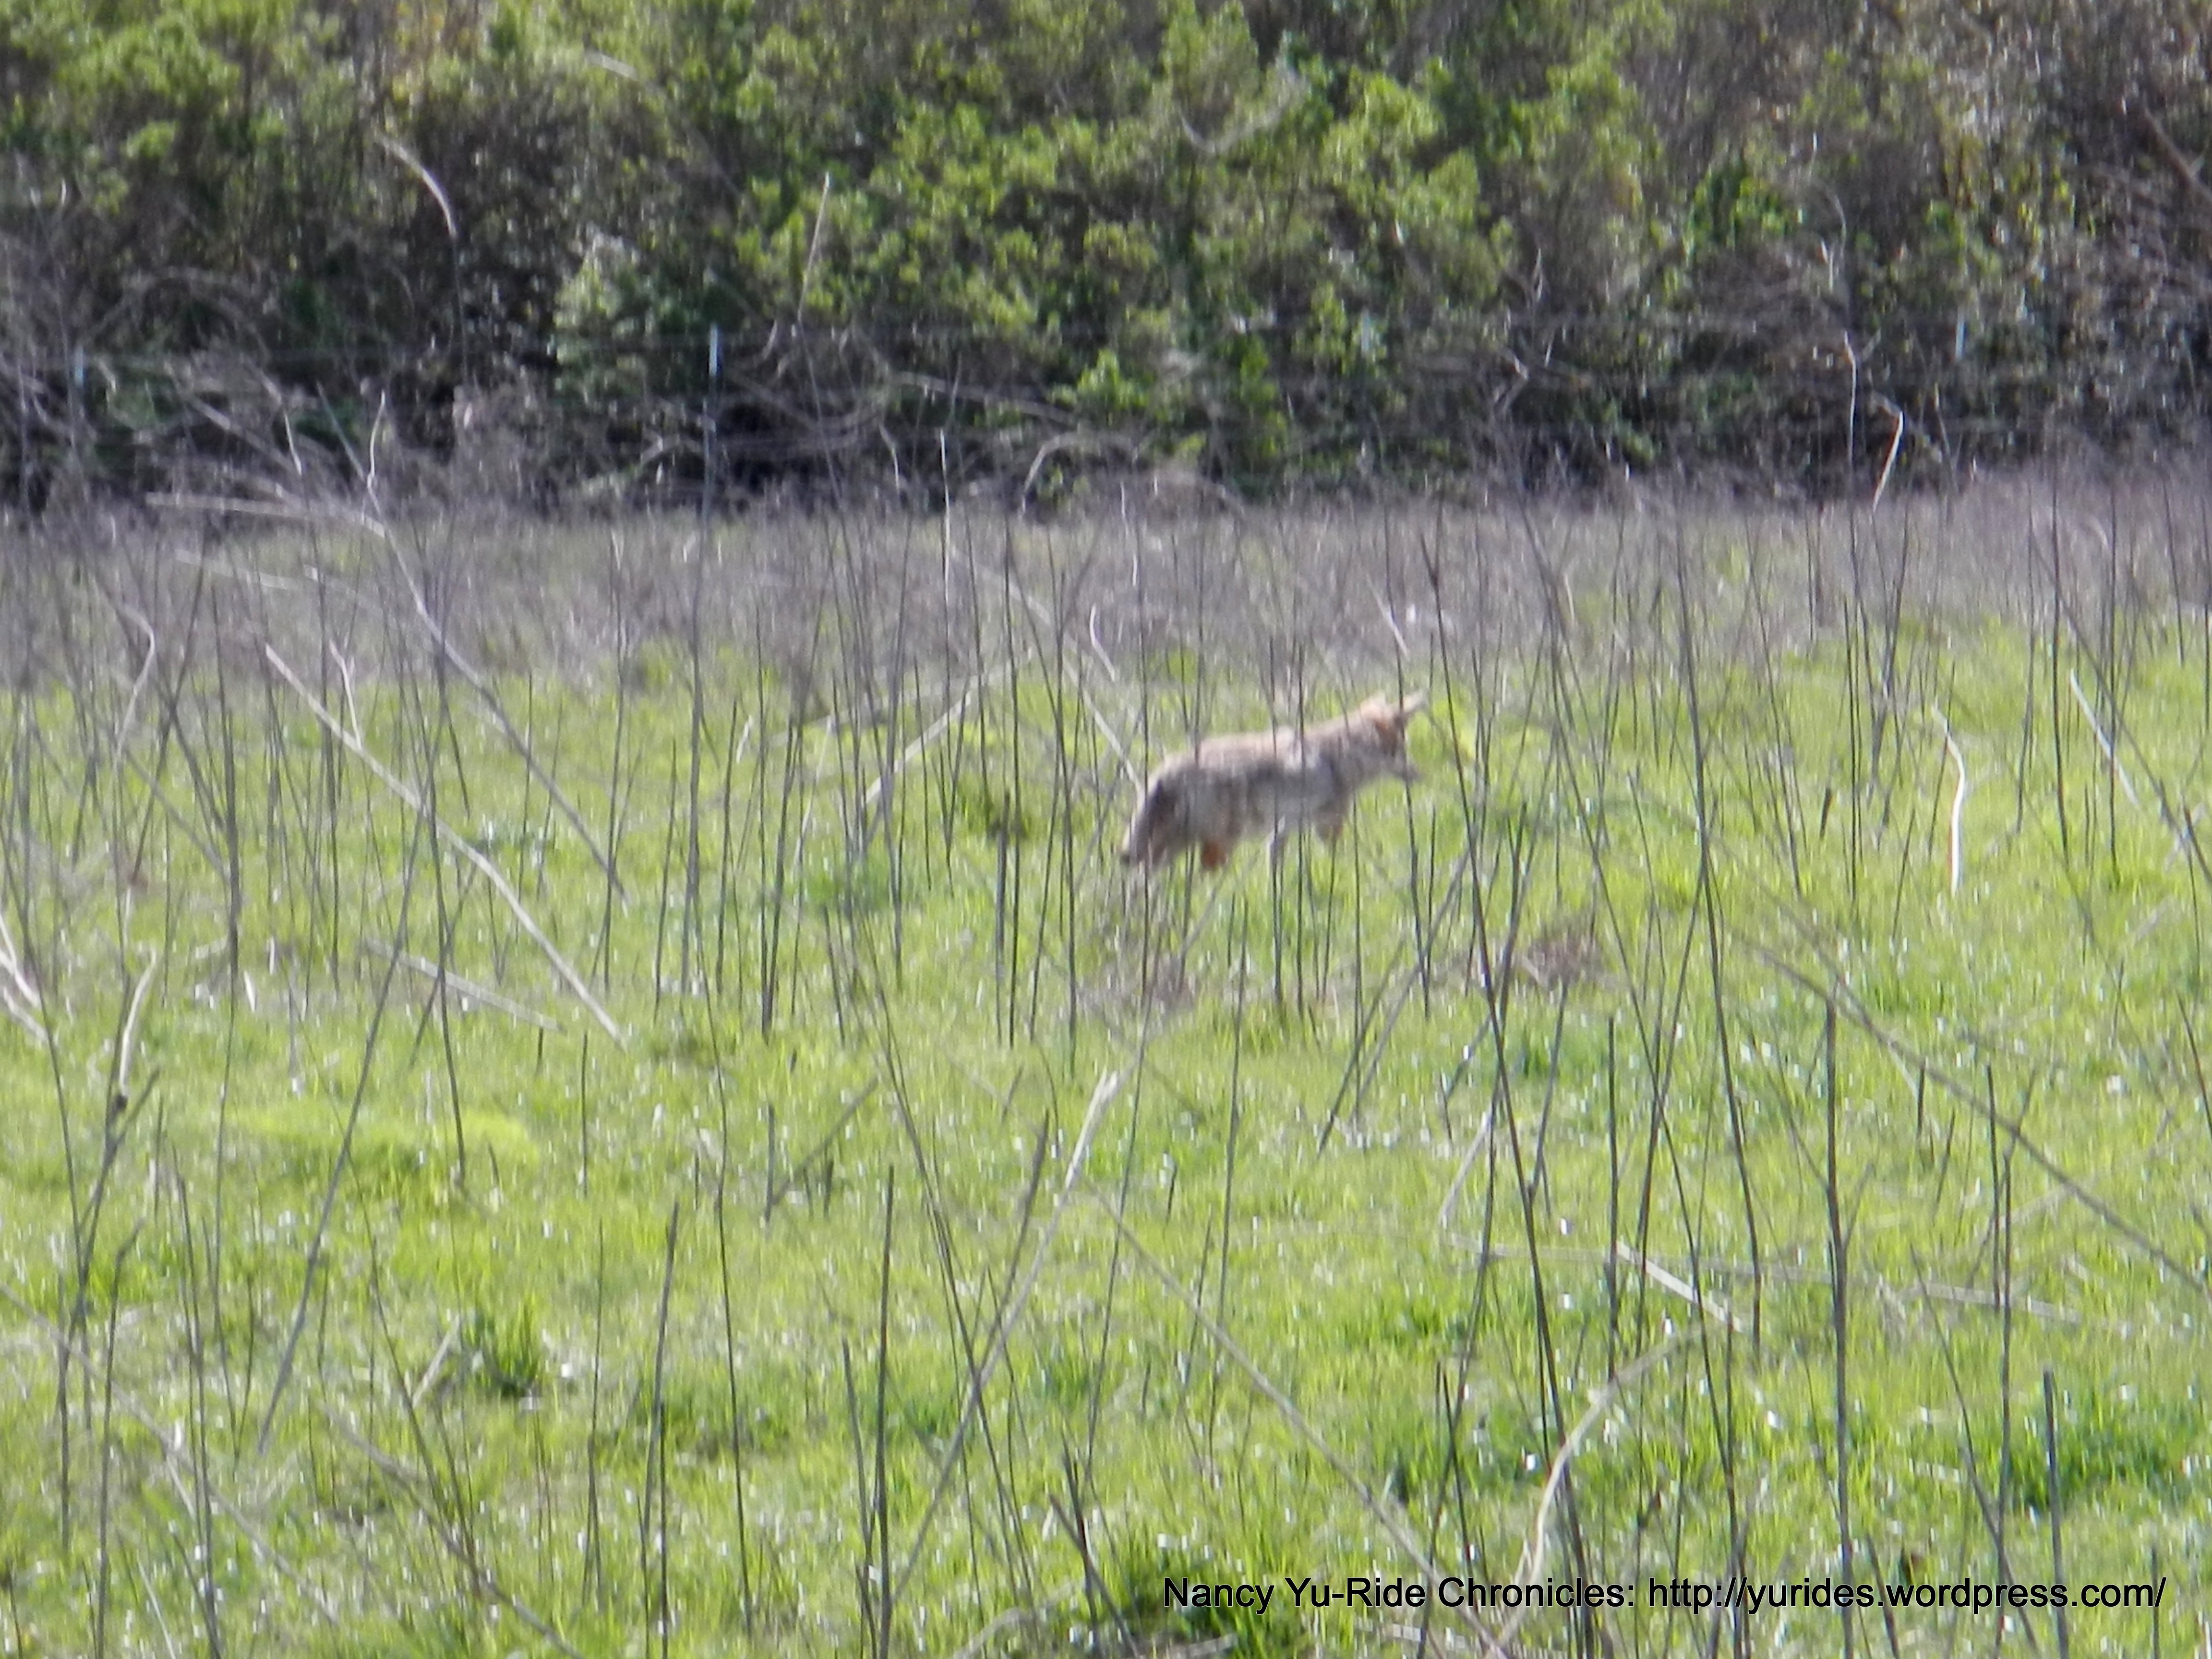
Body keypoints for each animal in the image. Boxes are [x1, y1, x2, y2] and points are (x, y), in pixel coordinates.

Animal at [1117, 692, 1425, 871]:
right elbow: (1337, 860)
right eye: (1401, 752)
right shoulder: (1328, 825)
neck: (1341, 758)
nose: (1421, 774)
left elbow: (1275, 866)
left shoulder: (1283, 828)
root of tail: (1168, 768)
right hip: (1214, 839)